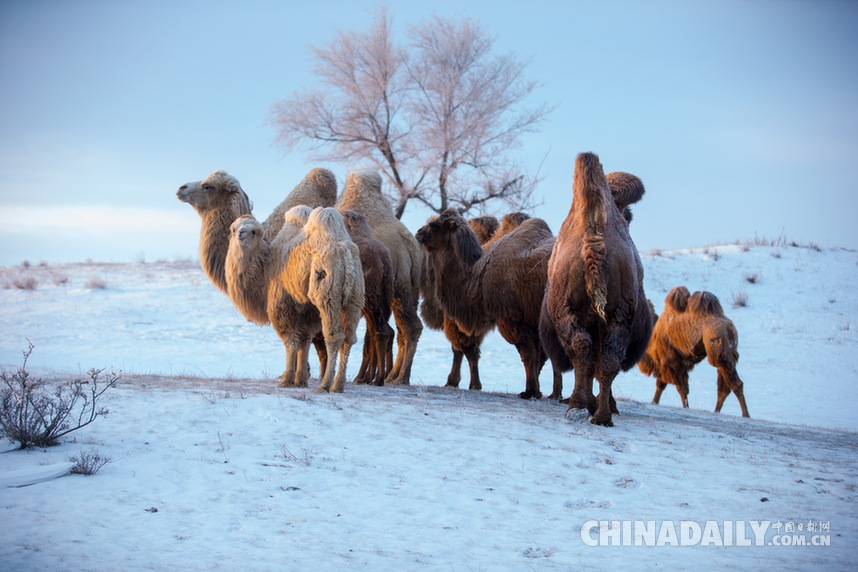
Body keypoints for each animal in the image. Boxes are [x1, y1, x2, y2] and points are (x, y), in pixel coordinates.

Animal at [334, 170, 422, 384]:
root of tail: (408, 242)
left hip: (390, 290)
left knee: (400, 328)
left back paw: (397, 377)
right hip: (406, 288)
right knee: (403, 328)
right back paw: (393, 375)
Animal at [414, 208, 560, 400]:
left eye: (434, 225)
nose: (419, 232)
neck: (478, 277)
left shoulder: (511, 318)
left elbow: (528, 355)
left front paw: (530, 392)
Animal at [540, 152, 652, 424]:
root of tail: (593, 238)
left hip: (575, 313)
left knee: (586, 351)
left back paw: (583, 407)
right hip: (617, 315)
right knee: (605, 358)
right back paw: (601, 414)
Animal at [636, 288, 748, 418]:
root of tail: (729, 326)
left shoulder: (671, 360)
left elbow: (680, 387)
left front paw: (685, 407)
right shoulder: (670, 363)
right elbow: (661, 384)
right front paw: (654, 402)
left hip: (717, 350)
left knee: (734, 383)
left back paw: (745, 414)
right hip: (726, 354)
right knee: (725, 386)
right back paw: (717, 411)